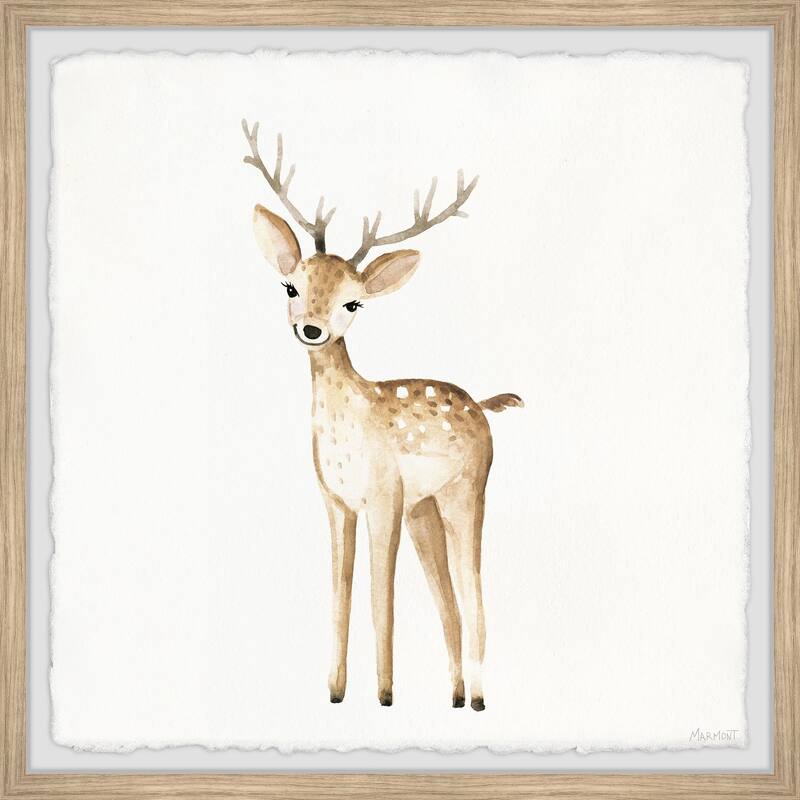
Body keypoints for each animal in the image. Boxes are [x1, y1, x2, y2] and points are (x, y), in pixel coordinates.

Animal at [242, 120, 523, 712]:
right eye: (291, 286)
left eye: (354, 302)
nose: (311, 328)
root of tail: (485, 404)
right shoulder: (336, 502)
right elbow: (341, 591)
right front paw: (334, 691)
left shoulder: (384, 495)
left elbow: (380, 595)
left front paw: (386, 695)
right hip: (425, 509)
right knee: (448, 600)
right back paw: (455, 697)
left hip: (467, 490)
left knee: (473, 590)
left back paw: (479, 699)